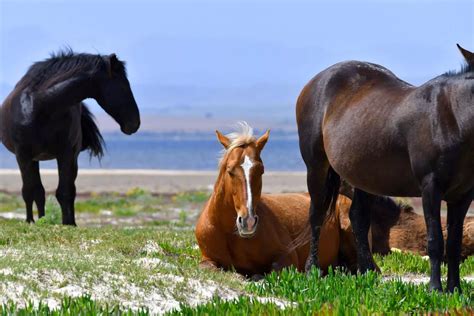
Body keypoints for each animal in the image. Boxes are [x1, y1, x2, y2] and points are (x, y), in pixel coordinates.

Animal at [0, 50, 140, 225]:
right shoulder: (23, 156)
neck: (41, 107)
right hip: (33, 159)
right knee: (37, 191)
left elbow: (65, 191)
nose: (135, 123)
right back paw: (38, 219)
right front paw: (31, 221)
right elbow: (30, 190)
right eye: (124, 86)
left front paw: (69, 223)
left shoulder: (67, 154)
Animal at [194, 123, 472, 278]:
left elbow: (263, 274)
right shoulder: (207, 261)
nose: (249, 221)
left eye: (261, 170)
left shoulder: (287, 258)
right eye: (230, 170)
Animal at [296, 43, 474, 292]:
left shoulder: (463, 195)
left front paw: (454, 289)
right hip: (316, 167)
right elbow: (435, 240)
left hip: (364, 176)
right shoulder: (431, 188)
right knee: (317, 215)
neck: (453, 119)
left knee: (358, 218)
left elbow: (455, 244)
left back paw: (367, 272)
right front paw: (435, 289)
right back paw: (312, 270)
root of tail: (316, 81)